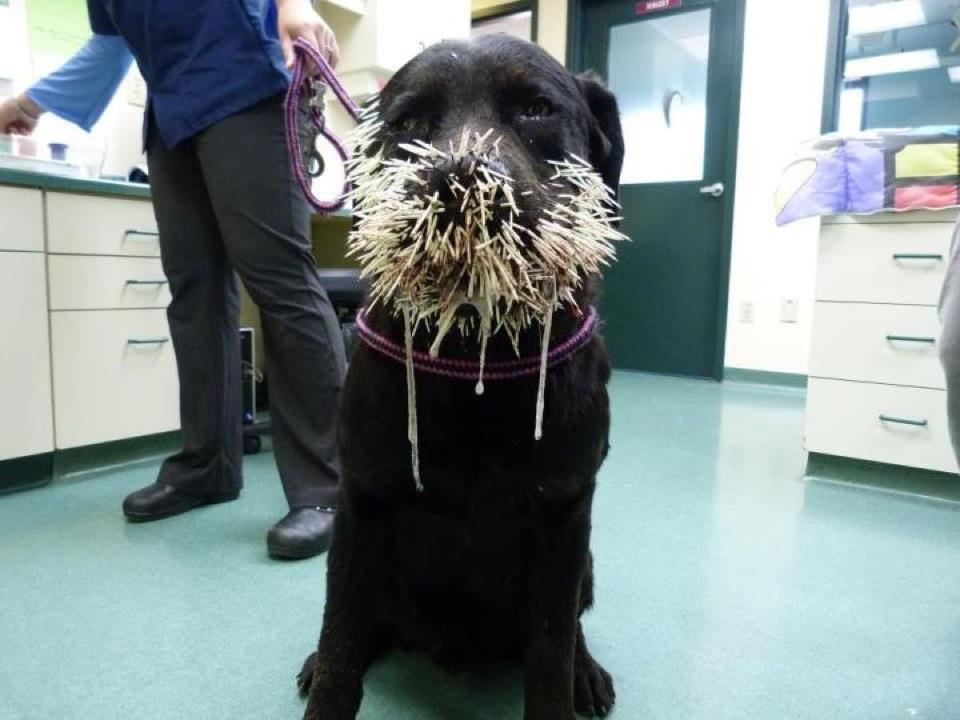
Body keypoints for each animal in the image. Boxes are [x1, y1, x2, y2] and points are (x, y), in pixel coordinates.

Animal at [302, 33, 632, 720]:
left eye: (536, 109)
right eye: (408, 123)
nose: (461, 182)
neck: (477, 356)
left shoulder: (564, 515)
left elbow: (551, 652)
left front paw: (568, 678)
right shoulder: (361, 503)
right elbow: (340, 644)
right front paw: (328, 674)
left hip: (585, 559)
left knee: (569, 627)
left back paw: (586, 671)